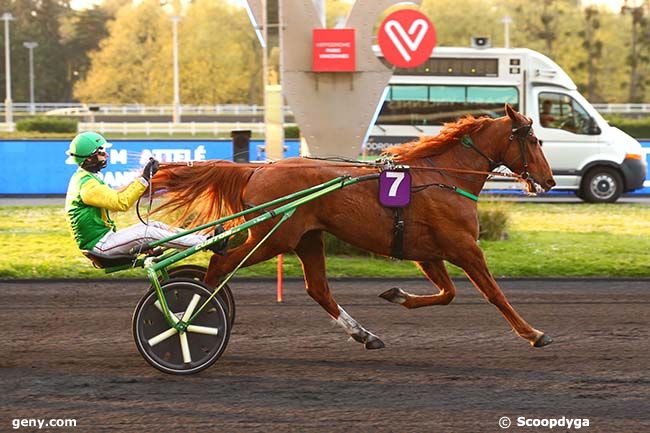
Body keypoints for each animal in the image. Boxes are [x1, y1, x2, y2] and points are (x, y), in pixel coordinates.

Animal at [152, 106, 552, 350]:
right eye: (534, 140)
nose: (548, 181)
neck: (444, 177)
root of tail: (258, 170)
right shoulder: (465, 247)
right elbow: (493, 293)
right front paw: (533, 333)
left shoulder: (427, 253)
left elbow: (448, 293)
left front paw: (397, 295)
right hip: (274, 237)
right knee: (220, 264)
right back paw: (187, 320)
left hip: (307, 239)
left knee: (318, 289)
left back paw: (365, 334)